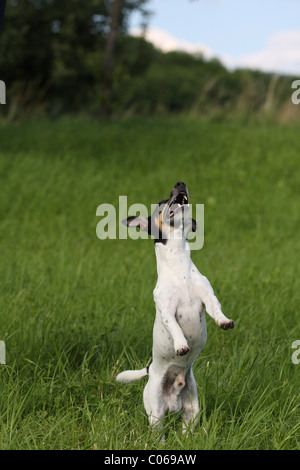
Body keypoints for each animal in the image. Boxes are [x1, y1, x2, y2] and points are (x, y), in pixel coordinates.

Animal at [115, 183, 234, 434]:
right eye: (161, 203)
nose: (180, 184)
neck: (179, 264)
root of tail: (150, 370)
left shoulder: (207, 297)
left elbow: (216, 310)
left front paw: (224, 321)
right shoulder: (167, 310)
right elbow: (176, 328)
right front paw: (181, 345)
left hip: (192, 411)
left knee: (187, 429)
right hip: (155, 414)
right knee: (157, 432)